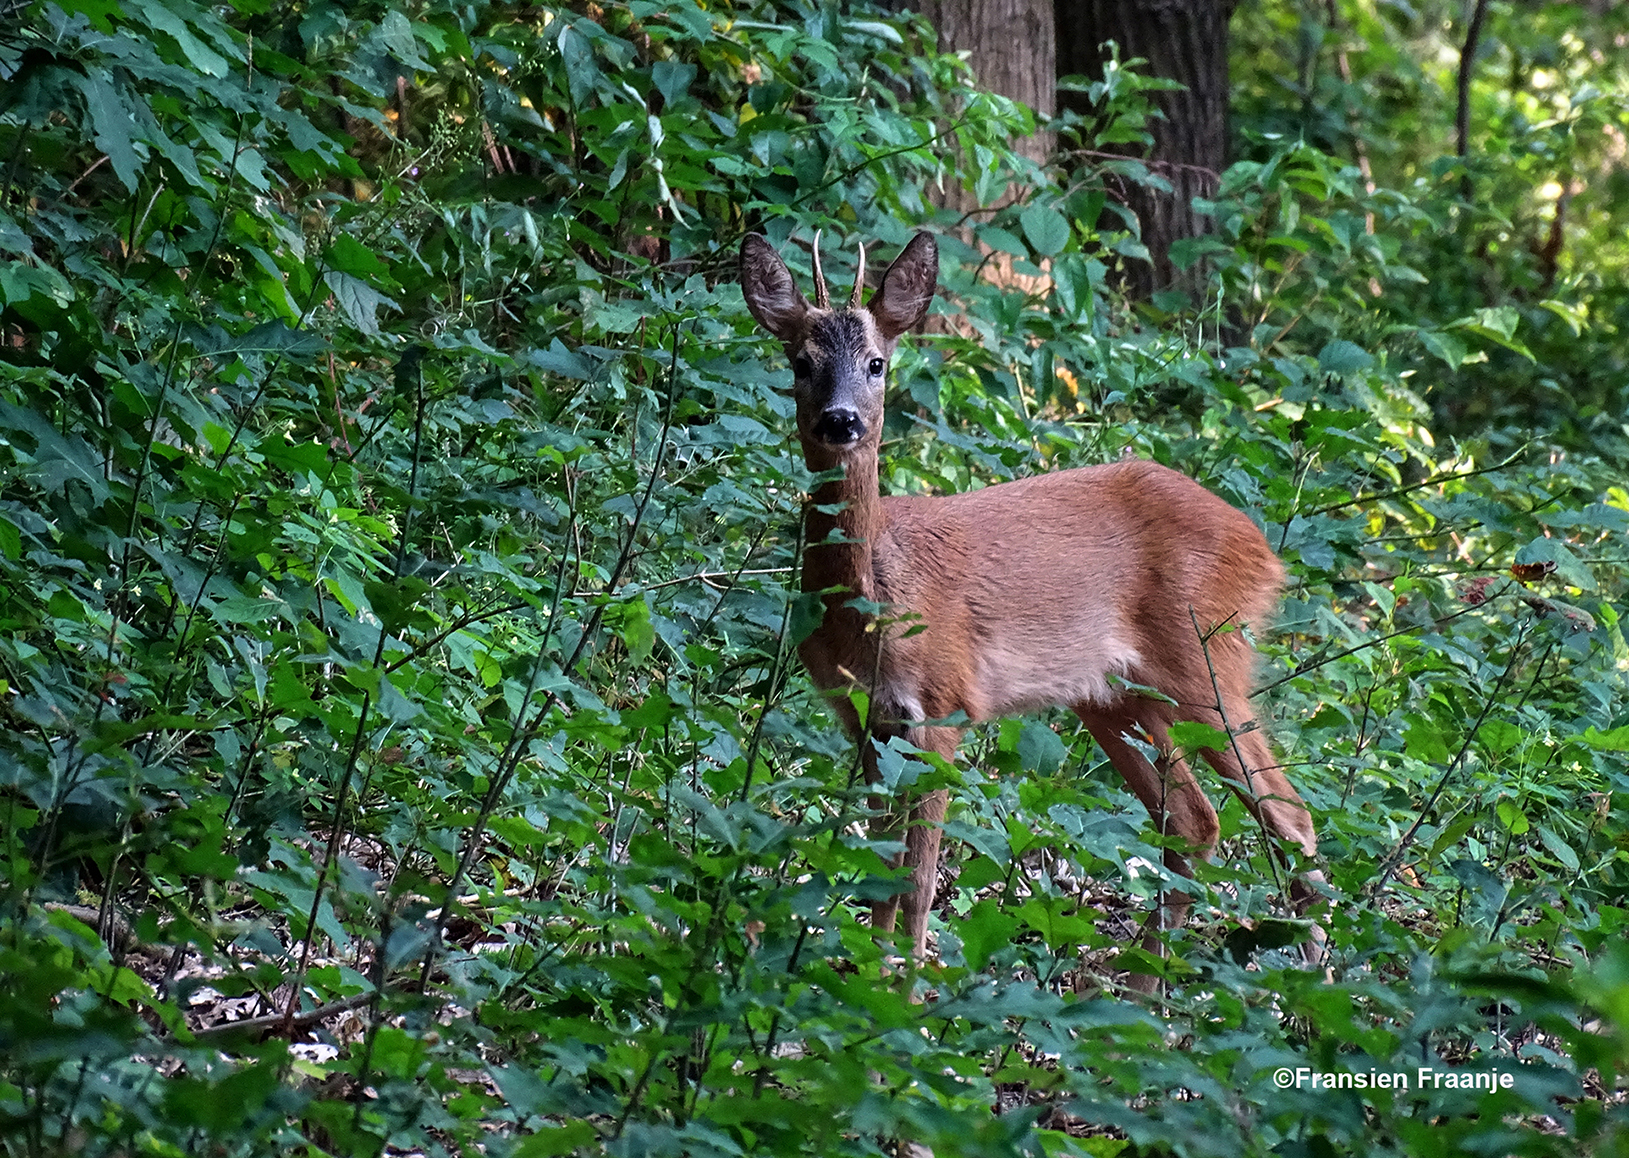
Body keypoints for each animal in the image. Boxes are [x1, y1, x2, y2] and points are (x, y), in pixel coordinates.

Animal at [742, 231, 1322, 983]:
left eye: (876, 362)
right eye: (800, 362)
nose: (840, 420)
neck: (871, 606)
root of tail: (1263, 549)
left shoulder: (944, 705)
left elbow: (918, 878)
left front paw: (908, 992)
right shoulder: (866, 719)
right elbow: (881, 867)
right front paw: (870, 977)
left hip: (1207, 660)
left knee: (1290, 817)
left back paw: (1314, 982)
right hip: (1113, 694)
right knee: (1193, 822)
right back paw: (1140, 987)